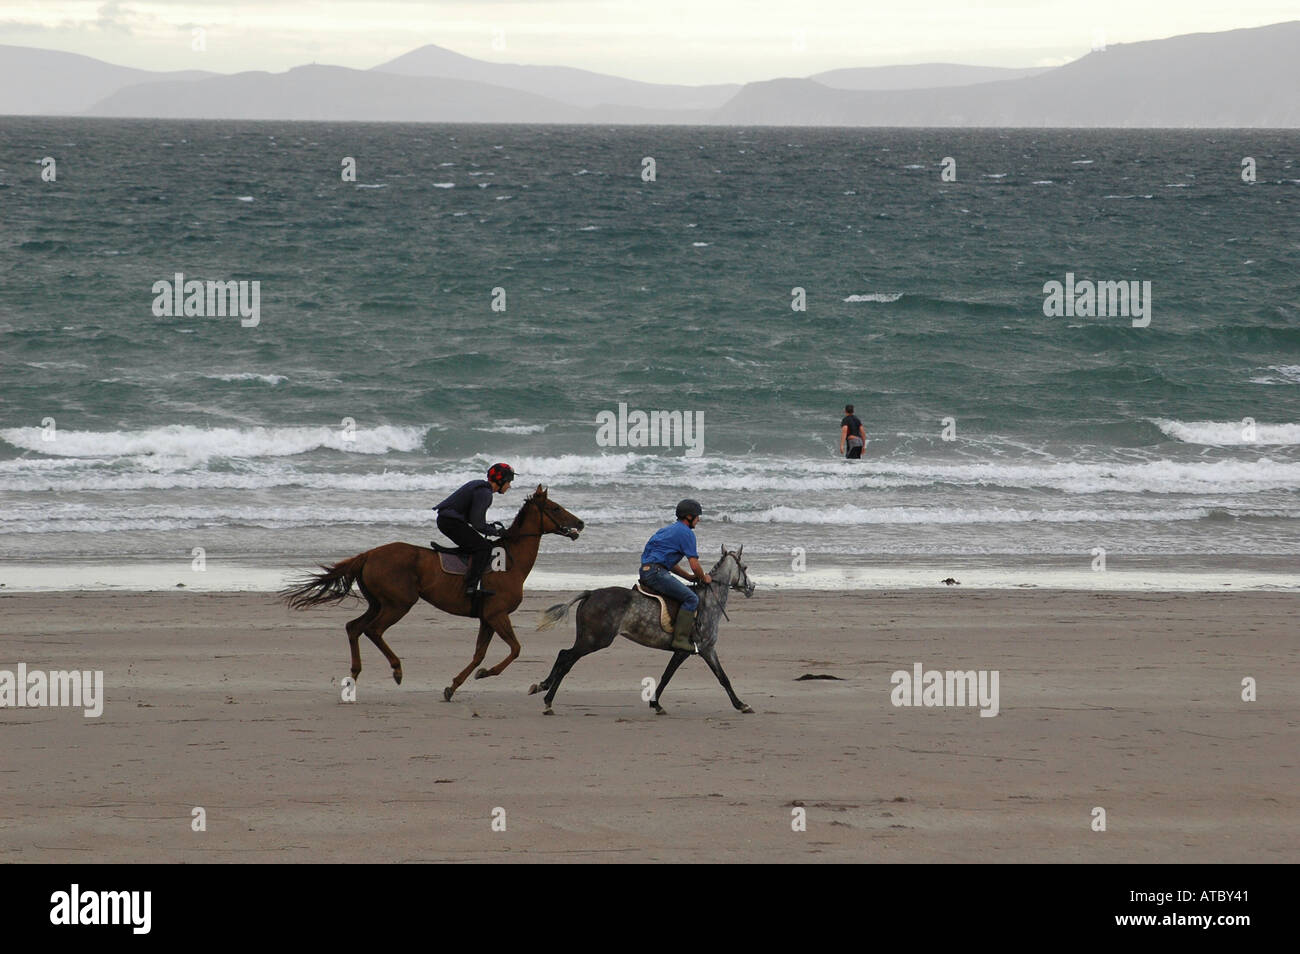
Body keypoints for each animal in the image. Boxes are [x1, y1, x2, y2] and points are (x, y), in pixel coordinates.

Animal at [289, 486, 590, 701]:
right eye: (555, 507)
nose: (580, 523)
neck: (511, 561)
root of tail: (368, 555)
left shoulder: (486, 618)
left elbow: (478, 654)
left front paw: (453, 686)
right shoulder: (497, 614)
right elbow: (515, 649)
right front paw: (485, 674)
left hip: (378, 603)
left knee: (353, 627)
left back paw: (354, 675)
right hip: (398, 604)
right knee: (373, 630)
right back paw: (396, 669)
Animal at [525, 548, 754, 712]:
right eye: (745, 567)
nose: (751, 588)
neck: (708, 602)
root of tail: (591, 593)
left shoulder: (703, 650)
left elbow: (713, 676)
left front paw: (656, 703)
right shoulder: (697, 649)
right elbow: (705, 676)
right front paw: (742, 704)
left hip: (587, 637)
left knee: (564, 656)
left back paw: (543, 687)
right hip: (595, 639)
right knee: (566, 658)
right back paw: (547, 698)